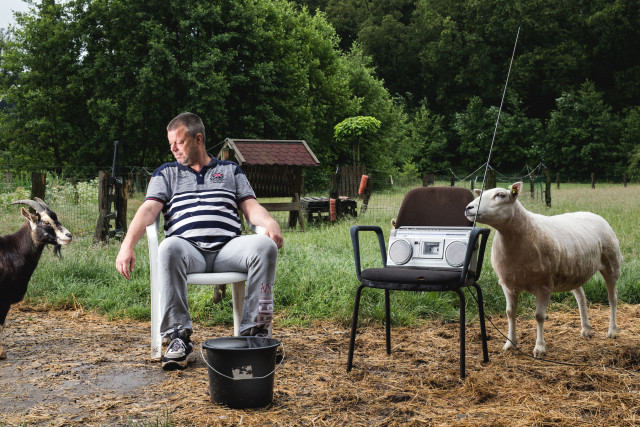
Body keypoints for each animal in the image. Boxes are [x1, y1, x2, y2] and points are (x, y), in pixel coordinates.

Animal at [462, 182, 624, 356]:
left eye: (501, 195)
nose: (468, 208)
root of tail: (593, 214)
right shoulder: (507, 285)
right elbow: (510, 313)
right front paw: (510, 343)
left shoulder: (544, 286)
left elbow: (539, 316)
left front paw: (539, 347)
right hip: (574, 271)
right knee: (581, 298)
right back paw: (586, 329)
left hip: (611, 264)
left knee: (613, 298)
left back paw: (612, 330)